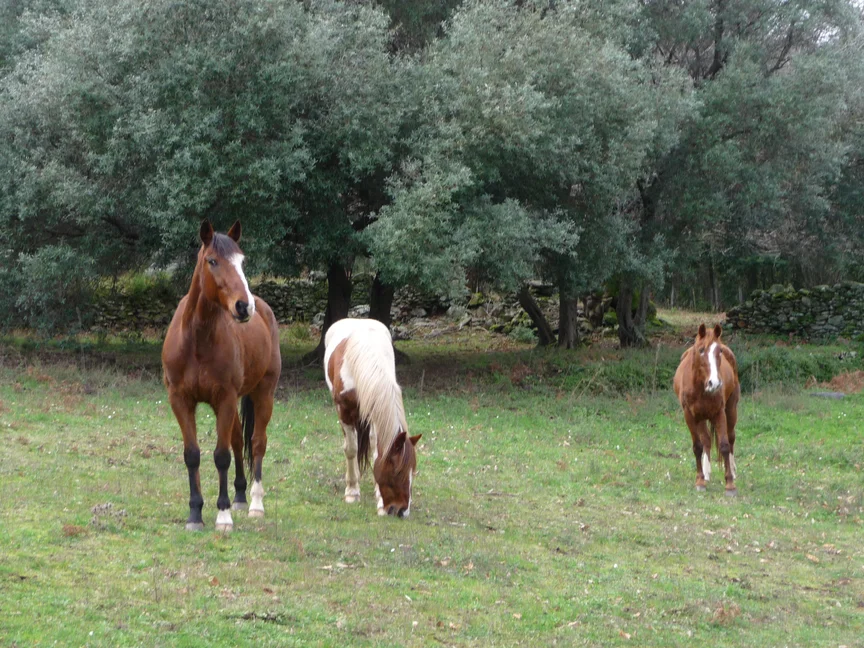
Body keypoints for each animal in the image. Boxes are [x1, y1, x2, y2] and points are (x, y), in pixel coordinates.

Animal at [161, 220, 280, 528]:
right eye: (212, 261)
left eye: (242, 261)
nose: (244, 306)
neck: (197, 340)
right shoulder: (180, 400)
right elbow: (192, 455)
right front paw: (195, 513)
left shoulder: (224, 399)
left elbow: (221, 455)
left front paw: (223, 514)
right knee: (238, 440)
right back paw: (240, 496)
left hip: (264, 393)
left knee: (257, 443)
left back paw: (255, 503)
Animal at [322, 316, 420, 520]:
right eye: (397, 472)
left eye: (412, 472)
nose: (402, 511)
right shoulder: (344, 410)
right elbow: (351, 449)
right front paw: (352, 492)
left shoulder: (375, 413)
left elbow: (376, 450)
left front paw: (380, 501)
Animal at [672, 322, 740, 496]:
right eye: (701, 350)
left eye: (719, 351)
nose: (714, 383)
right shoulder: (690, 415)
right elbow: (698, 446)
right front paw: (700, 481)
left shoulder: (719, 413)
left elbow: (724, 445)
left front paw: (730, 484)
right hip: (701, 418)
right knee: (707, 440)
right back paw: (706, 473)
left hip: (731, 409)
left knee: (731, 438)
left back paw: (733, 471)